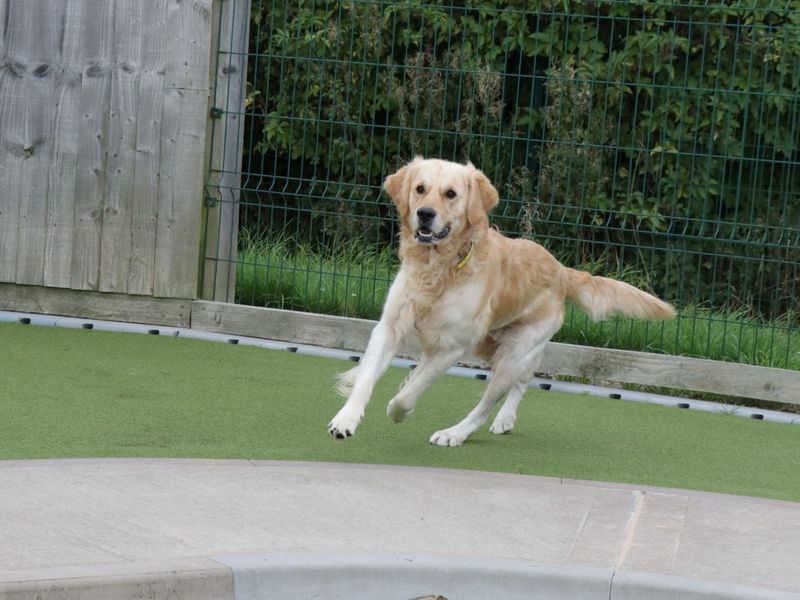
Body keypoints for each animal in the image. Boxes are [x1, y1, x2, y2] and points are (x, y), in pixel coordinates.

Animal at [328, 157, 672, 448]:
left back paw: (455, 433)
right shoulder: (389, 327)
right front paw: (346, 418)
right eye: (420, 189)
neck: (438, 269)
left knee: (485, 406)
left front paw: (398, 411)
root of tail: (561, 270)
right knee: (524, 380)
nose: (425, 213)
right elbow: (368, 377)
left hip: (513, 355)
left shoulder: (450, 347)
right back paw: (505, 419)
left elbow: (412, 389)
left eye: (450, 194)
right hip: (499, 348)